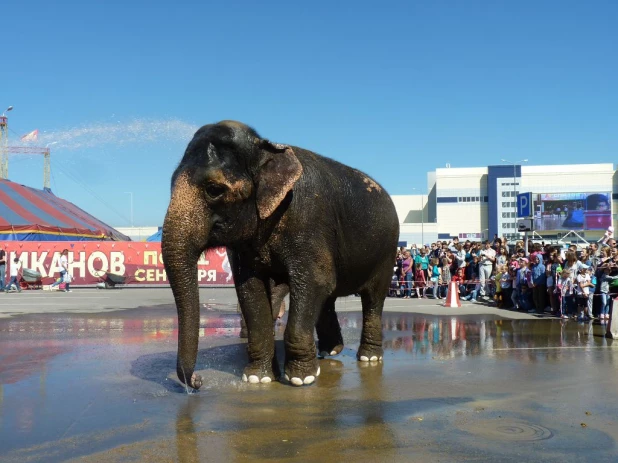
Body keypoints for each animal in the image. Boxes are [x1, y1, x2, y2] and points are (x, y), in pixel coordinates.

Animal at [161, 118, 398, 388]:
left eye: (214, 189)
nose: (197, 381)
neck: (265, 148)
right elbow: (250, 289)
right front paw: (258, 378)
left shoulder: (307, 219)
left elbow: (314, 282)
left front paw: (300, 379)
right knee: (328, 297)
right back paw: (329, 351)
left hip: (387, 250)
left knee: (373, 298)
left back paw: (369, 358)